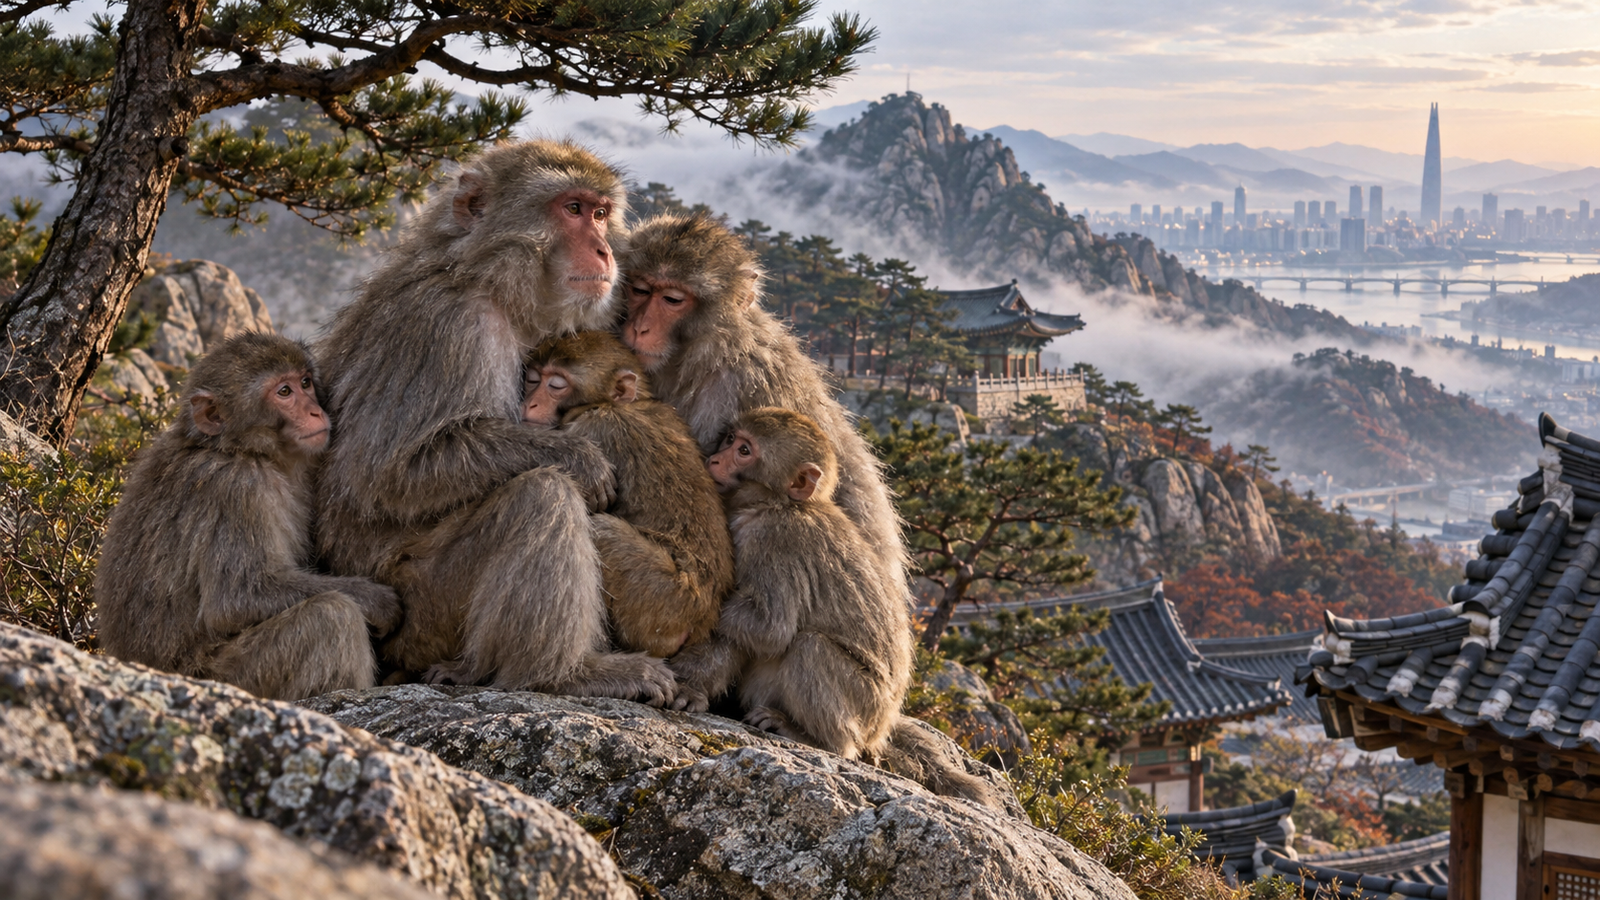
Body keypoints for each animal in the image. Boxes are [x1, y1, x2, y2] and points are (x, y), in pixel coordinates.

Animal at [96, 332, 401, 701]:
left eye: (305, 383)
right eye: (283, 392)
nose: (315, 411)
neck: (236, 450)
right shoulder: (235, 490)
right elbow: (238, 597)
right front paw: (375, 600)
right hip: (227, 677)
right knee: (330, 617)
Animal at [313, 140, 675, 703]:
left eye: (600, 214)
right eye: (572, 209)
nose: (604, 251)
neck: (485, 281)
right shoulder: (448, 326)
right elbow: (384, 472)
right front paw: (579, 459)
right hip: (425, 608)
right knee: (541, 496)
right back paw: (561, 673)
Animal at [521, 331, 734, 658]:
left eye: (556, 385)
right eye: (533, 379)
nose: (530, 403)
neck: (620, 406)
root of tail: (702, 618)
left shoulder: (593, 427)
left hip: (664, 599)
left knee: (603, 531)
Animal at [670, 408, 1001, 810]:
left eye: (745, 451)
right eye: (731, 439)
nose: (716, 459)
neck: (781, 503)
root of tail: (881, 728)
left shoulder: (773, 541)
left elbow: (769, 628)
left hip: (865, 703)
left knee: (808, 647)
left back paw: (818, 739)